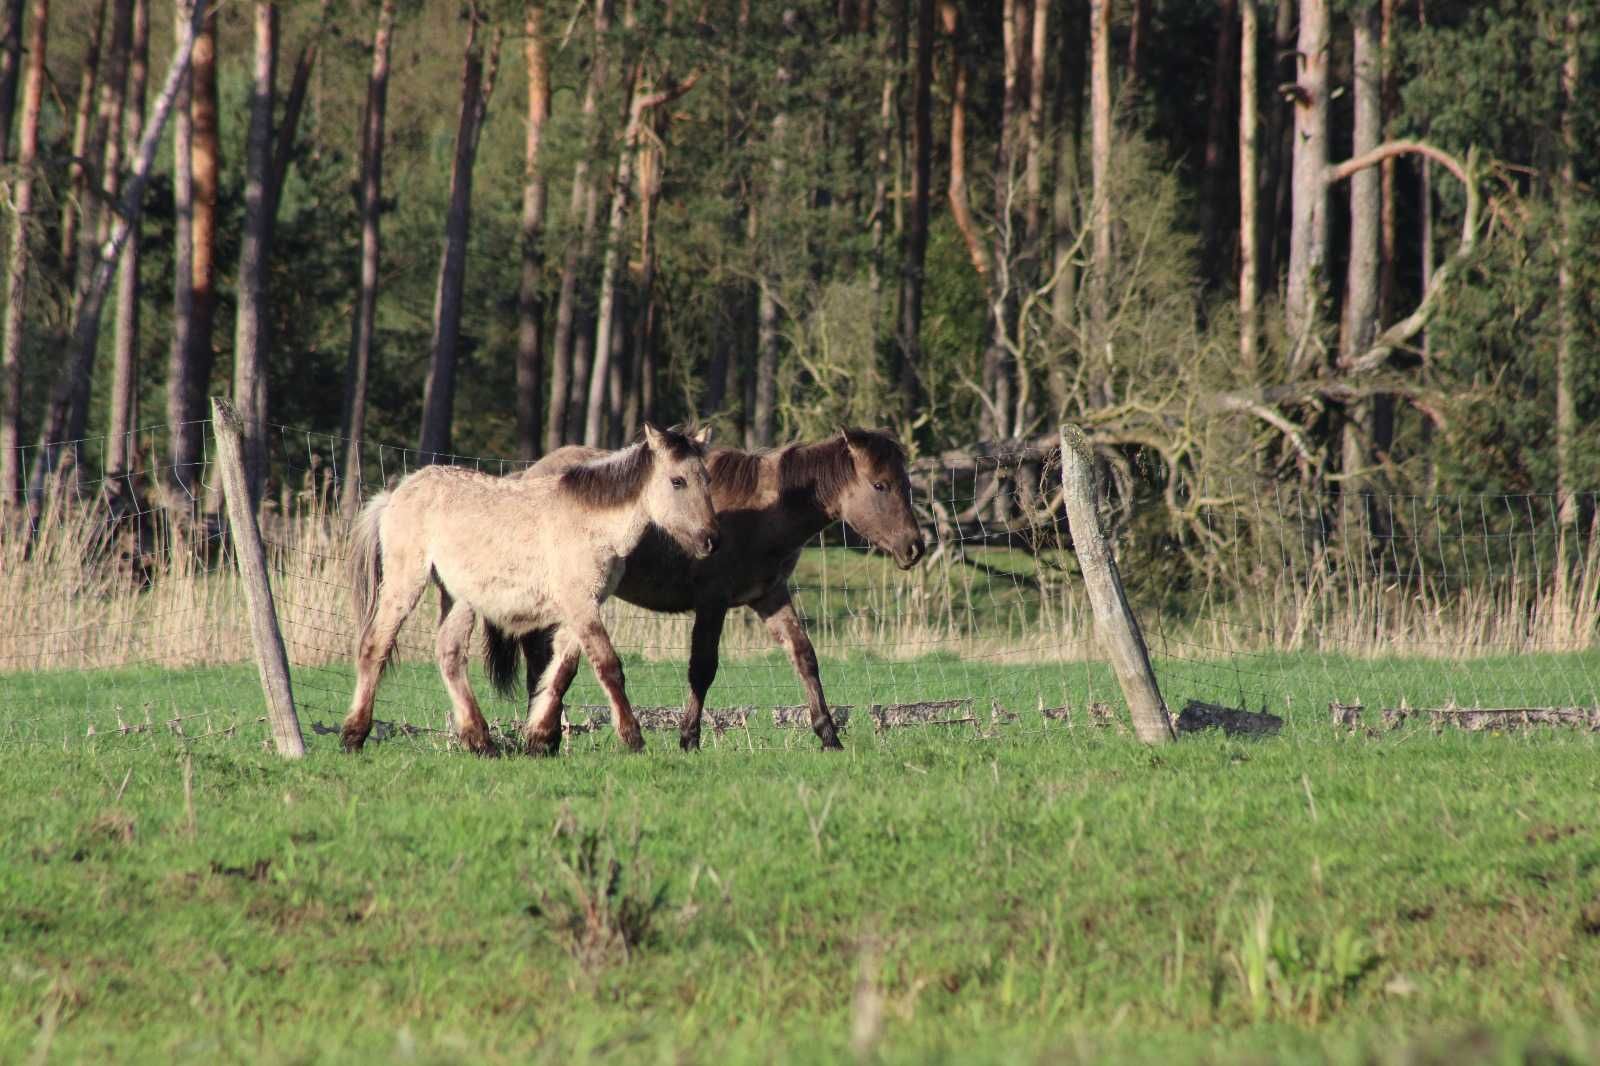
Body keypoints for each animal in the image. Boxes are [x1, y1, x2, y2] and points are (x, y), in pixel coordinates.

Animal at [344, 422, 720, 755]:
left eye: (707, 479)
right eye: (677, 481)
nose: (710, 541)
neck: (589, 521)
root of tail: (396, 493)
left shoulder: (579, 608)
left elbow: (560, 673)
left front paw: (538, 739)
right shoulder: (581, 605)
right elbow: (609, 667)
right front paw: (633, 739)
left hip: (459, 597)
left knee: (449, 656)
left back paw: (482, 743)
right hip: (405, 583)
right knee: (375, 647)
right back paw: (353, 737)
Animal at [486, 422, 934, 745]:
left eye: (904, 483)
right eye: (880, 485)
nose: (914, 546)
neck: (766, 512)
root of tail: (528, 474)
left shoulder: (770, 597)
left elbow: (804, 656)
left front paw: (828, 735)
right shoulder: (712, 603)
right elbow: (702, 669)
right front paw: (688, 738)